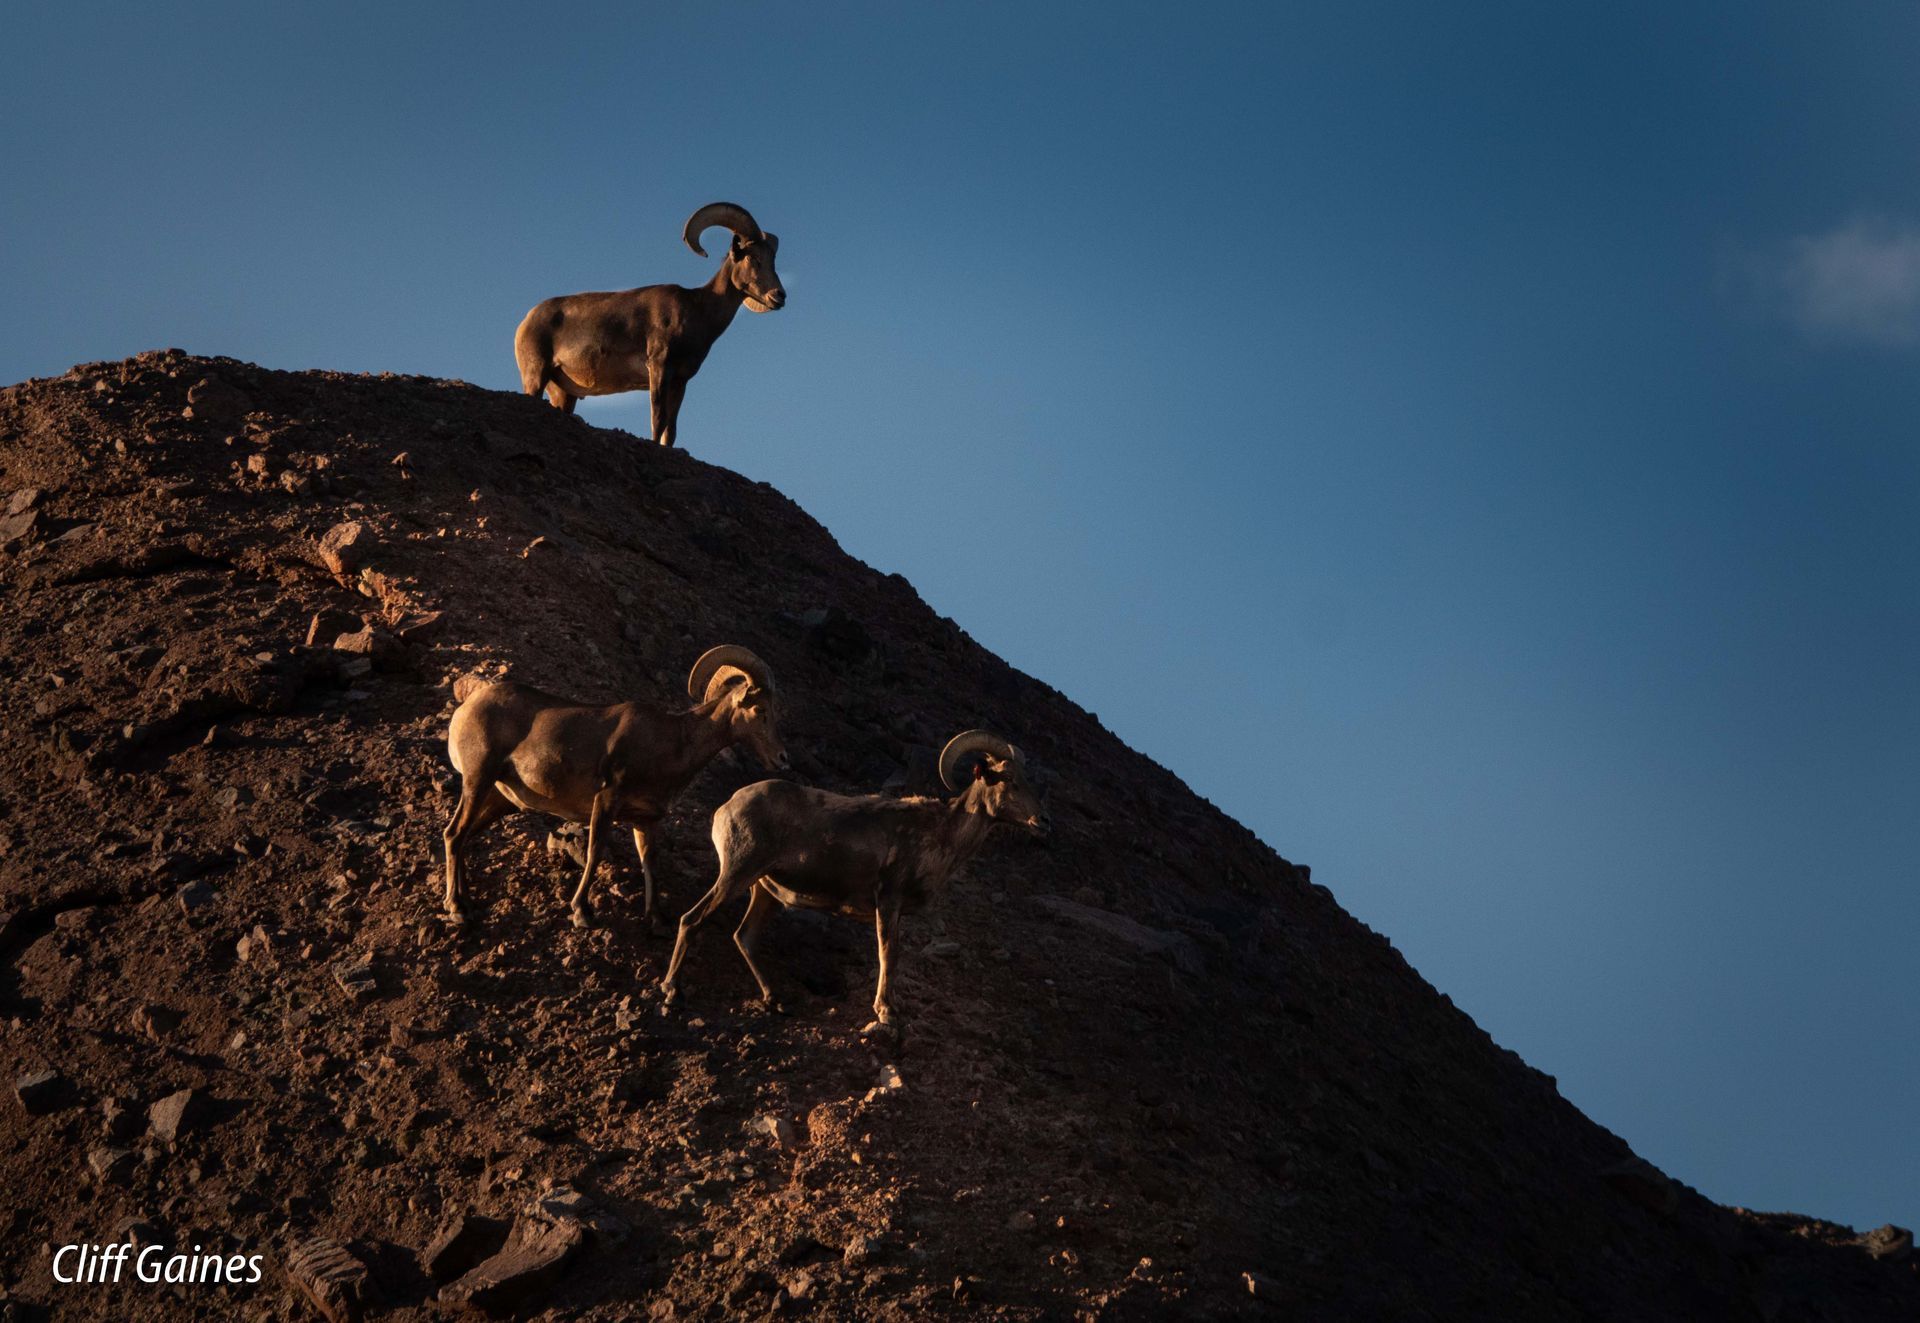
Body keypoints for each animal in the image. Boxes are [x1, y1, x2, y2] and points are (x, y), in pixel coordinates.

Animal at [441, 646, 787, 930]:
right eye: (760, 710)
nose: (782, 758)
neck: (672, 745)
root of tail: (466, 709)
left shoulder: (646, 820)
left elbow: (649, 862)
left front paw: (656, 920)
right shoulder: (606, 802)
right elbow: (595, 852)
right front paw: (582, 913)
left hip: (500, 800)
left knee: (465, 837)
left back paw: (467, 903)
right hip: (477, 781)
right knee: (454, 834)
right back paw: (456, 909)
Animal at [512, 201, 786, 447]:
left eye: (772, 261)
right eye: (753, 259)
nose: (779, 296)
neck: (698, 310)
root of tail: (526, 322)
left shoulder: (680, 382)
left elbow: (670, 430)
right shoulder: (659, 368)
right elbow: (658, 420)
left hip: (563, 393)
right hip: (535, 376)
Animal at [659, 731, 1048, 1027]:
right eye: (1010, 781)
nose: (1041, 822)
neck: (940, 835)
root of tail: (726, 808)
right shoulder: (887, 901)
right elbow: (888, 954)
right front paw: (885, 1012)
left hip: (763, 892)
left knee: (745, 937)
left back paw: (775, 1000)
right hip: (736, 875)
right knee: (692, 919)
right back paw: (672, 992)